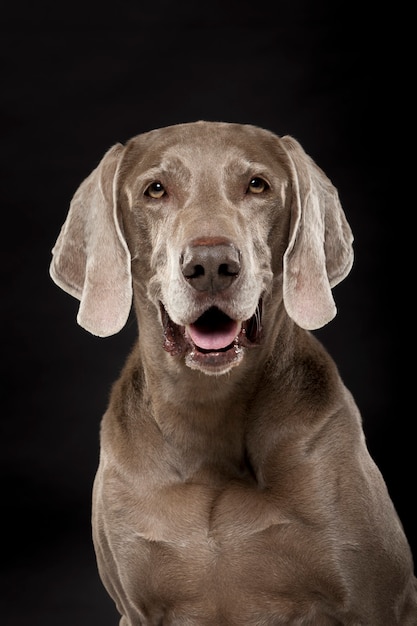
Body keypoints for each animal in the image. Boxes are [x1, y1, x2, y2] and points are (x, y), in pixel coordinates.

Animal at [49, 119, 416, 620]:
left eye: (257, 185)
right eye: (155, 190)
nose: (210, 264)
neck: (209, 411)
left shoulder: (377, 600)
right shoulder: (137, 608)